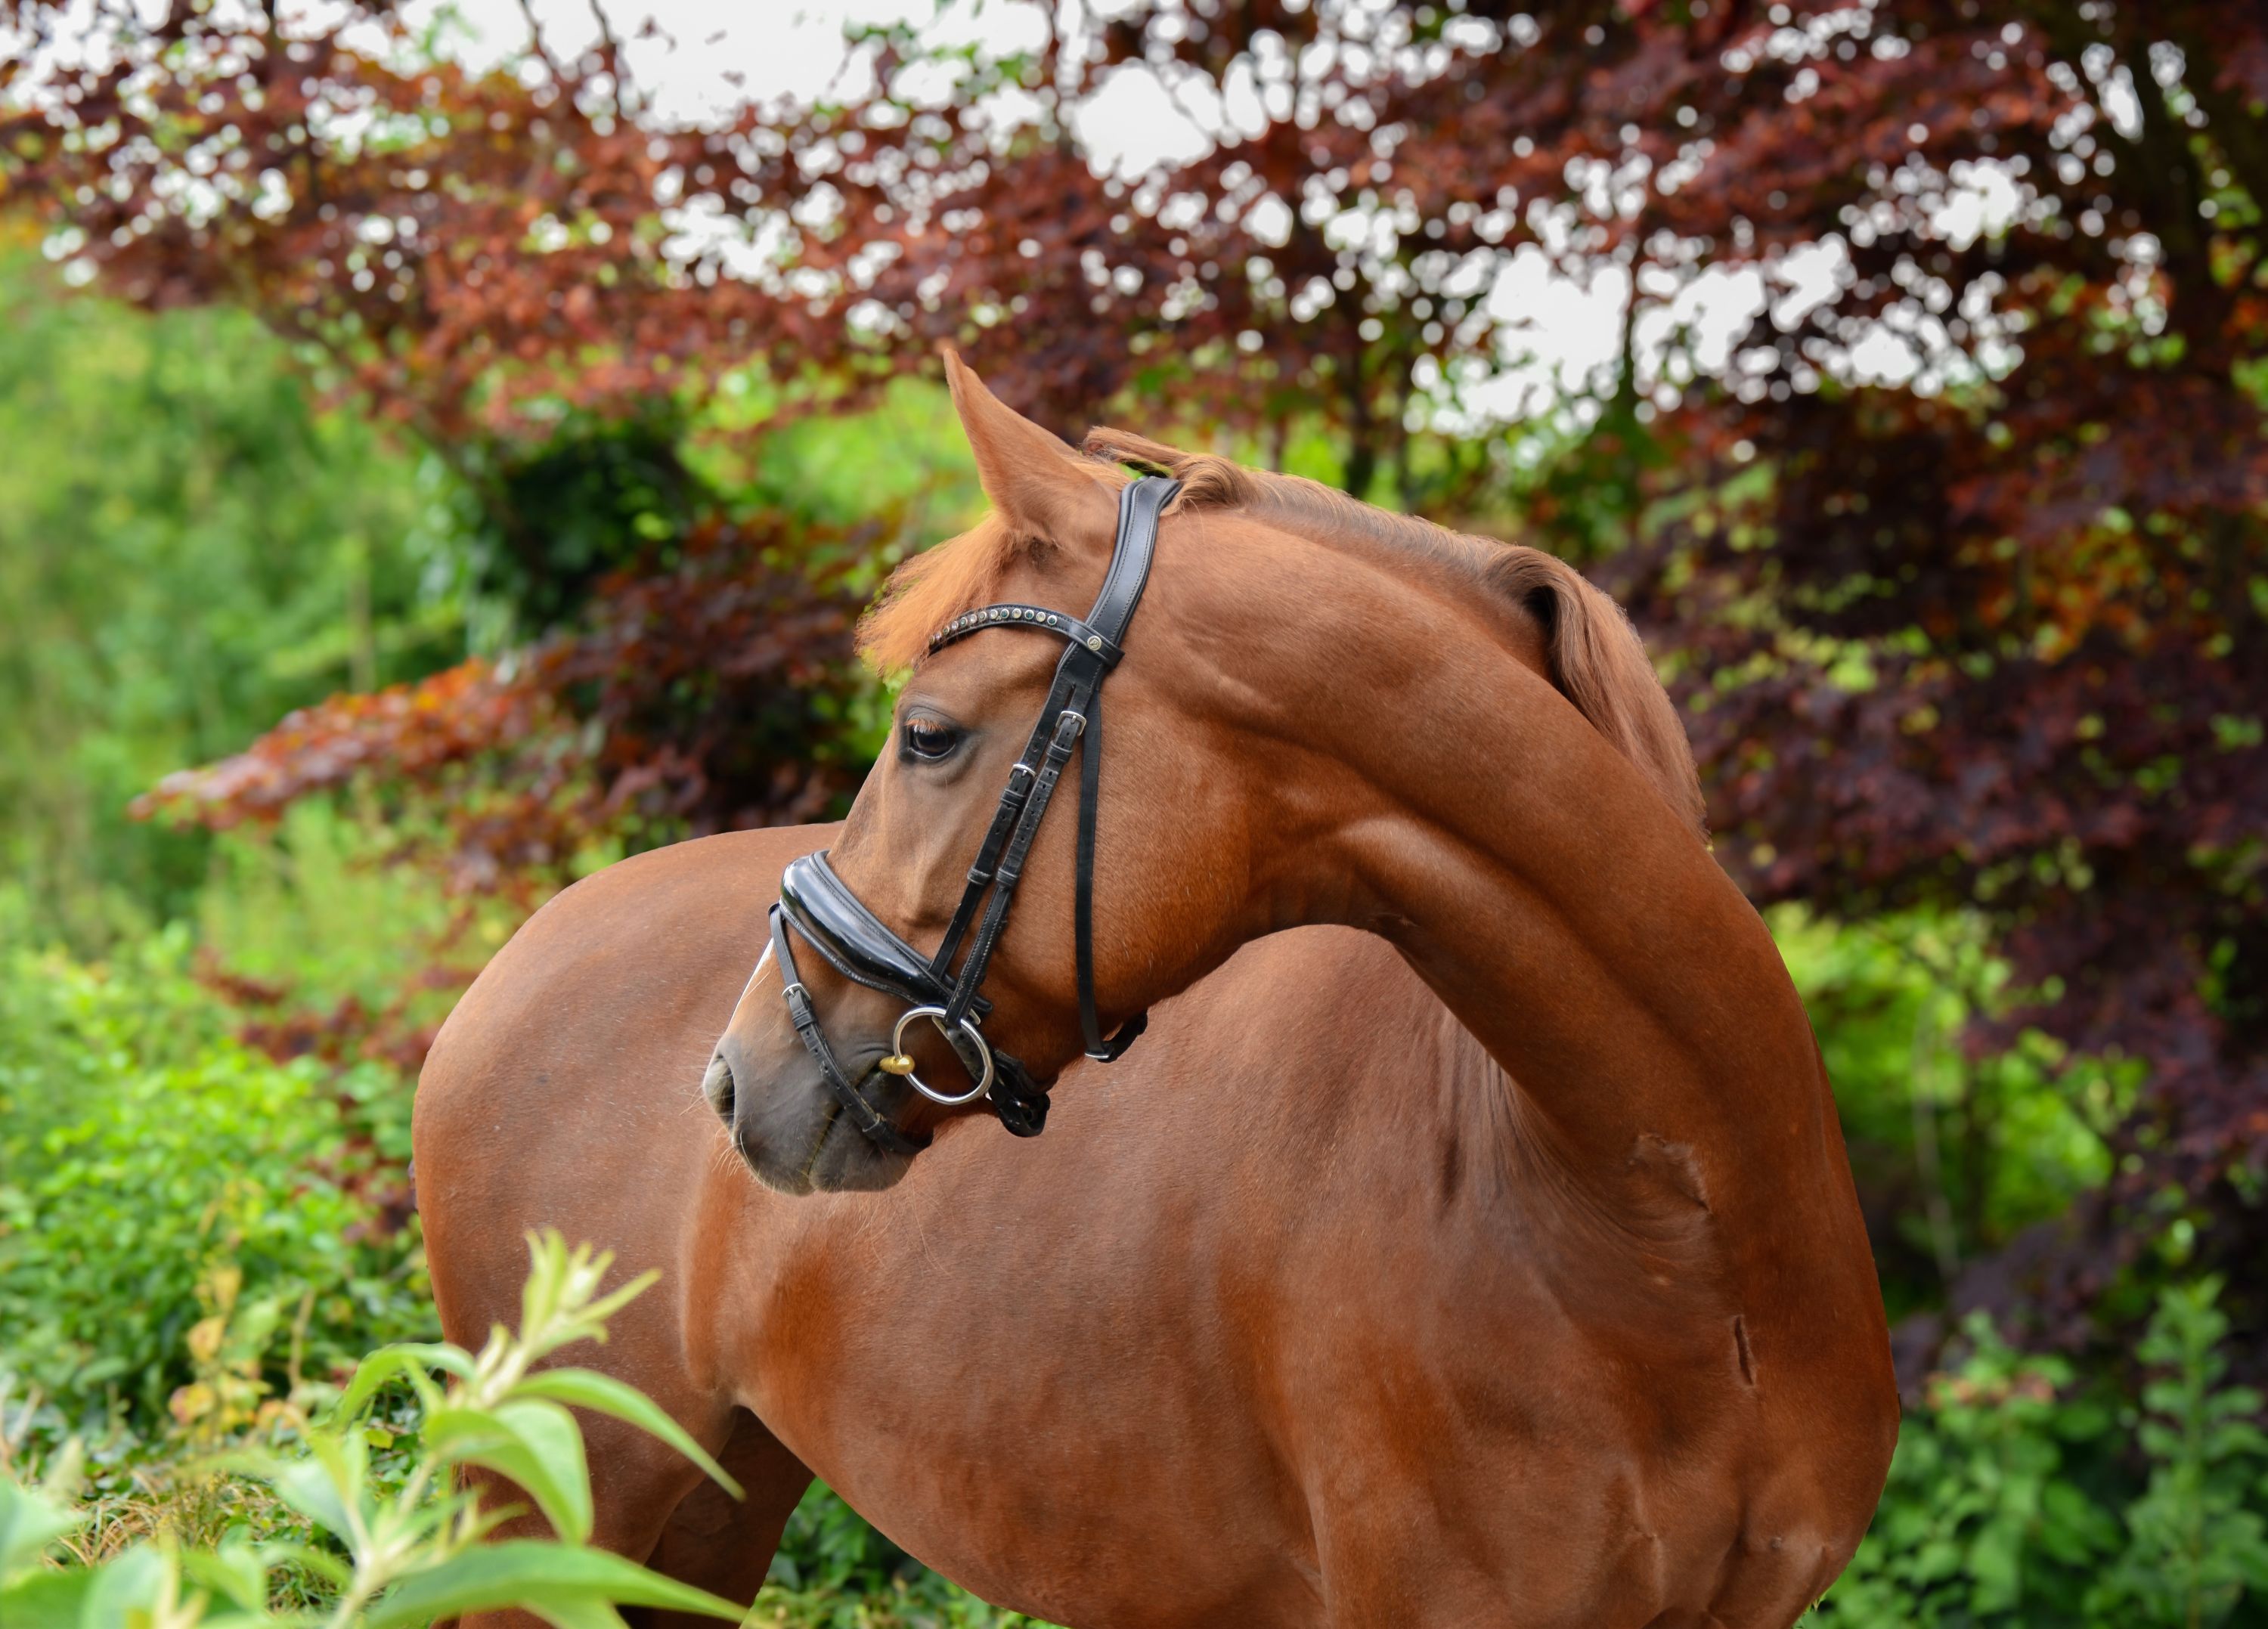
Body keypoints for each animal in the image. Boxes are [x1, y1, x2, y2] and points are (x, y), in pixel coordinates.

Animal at [414, 353, 1897, 1628]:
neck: (1672, 1227)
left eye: (927, 734)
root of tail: (521, 953)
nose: (737, 1079)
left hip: (708, 1516)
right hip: (552, 1519)